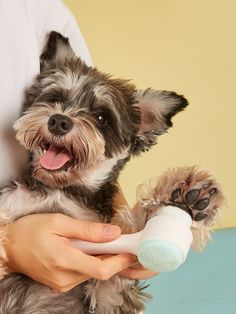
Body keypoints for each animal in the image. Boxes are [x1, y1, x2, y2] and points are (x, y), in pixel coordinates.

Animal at [0, 32, 225, 314]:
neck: (61, 191)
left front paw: (182, 198)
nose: (59, 121)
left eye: (101, 117)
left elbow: (131, 237)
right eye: (55, 98)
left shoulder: (110, 293)